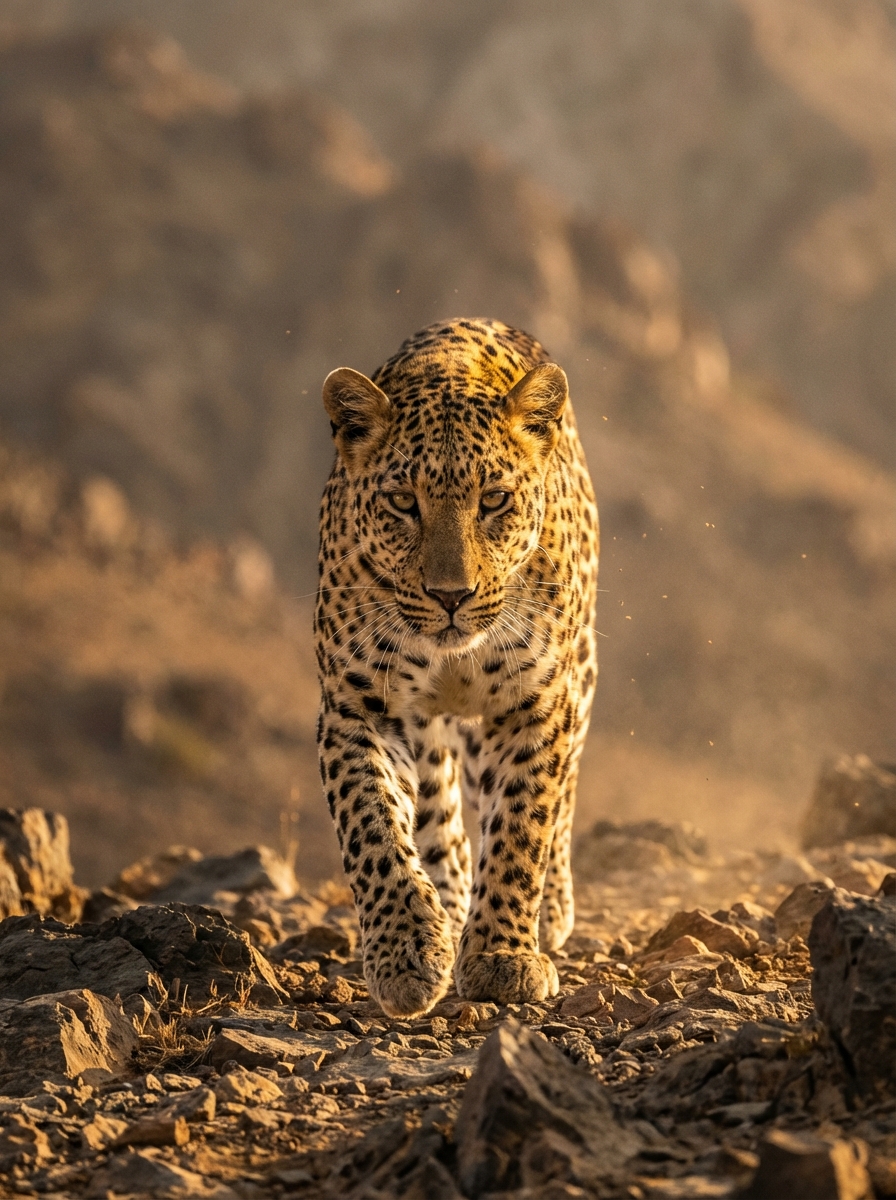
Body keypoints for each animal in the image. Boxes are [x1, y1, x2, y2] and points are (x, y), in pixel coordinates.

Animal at [315, 317, 598, 1018]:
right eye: (401, 501)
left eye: (494, 500)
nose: (451, 595)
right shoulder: (357, 704)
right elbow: (374, 828)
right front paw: (406, 953)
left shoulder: (535, 702)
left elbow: (523, 825)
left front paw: (501, 956)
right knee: (439, 816)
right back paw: (444, 908)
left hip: (579, 677)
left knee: (562, 800)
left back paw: (549, 910)